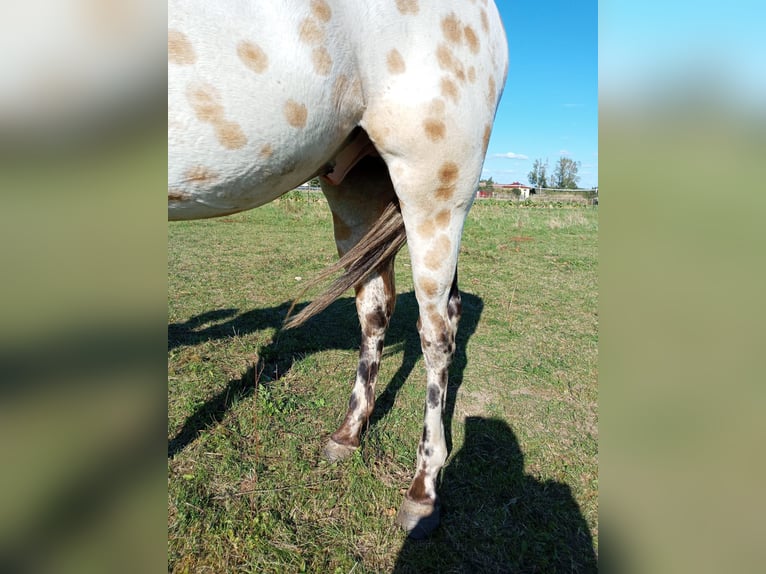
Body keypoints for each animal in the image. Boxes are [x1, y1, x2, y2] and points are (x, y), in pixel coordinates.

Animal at [172, 0, 510, 540]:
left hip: (435, 191)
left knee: (437, 332)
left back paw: (423, 489)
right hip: (361, 190)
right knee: (378, 310)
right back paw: (349, 434)